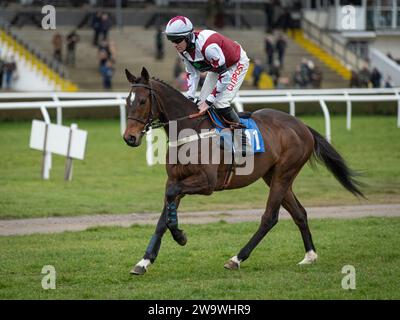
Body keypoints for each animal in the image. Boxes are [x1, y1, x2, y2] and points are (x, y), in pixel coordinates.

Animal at [123, 67, 364, 276]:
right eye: (127, 101)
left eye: (142, 101)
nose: (129, 138)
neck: (189, 131)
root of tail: (302, 126)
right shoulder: (175, 179)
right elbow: (163, 216)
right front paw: (144, 261)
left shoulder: (206, 183)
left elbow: (171, 198)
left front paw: (180, 236)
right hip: (275, 176)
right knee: (299, 213)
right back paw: (310, 255)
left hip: (284, 173)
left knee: (269, 217)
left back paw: (237, 258)